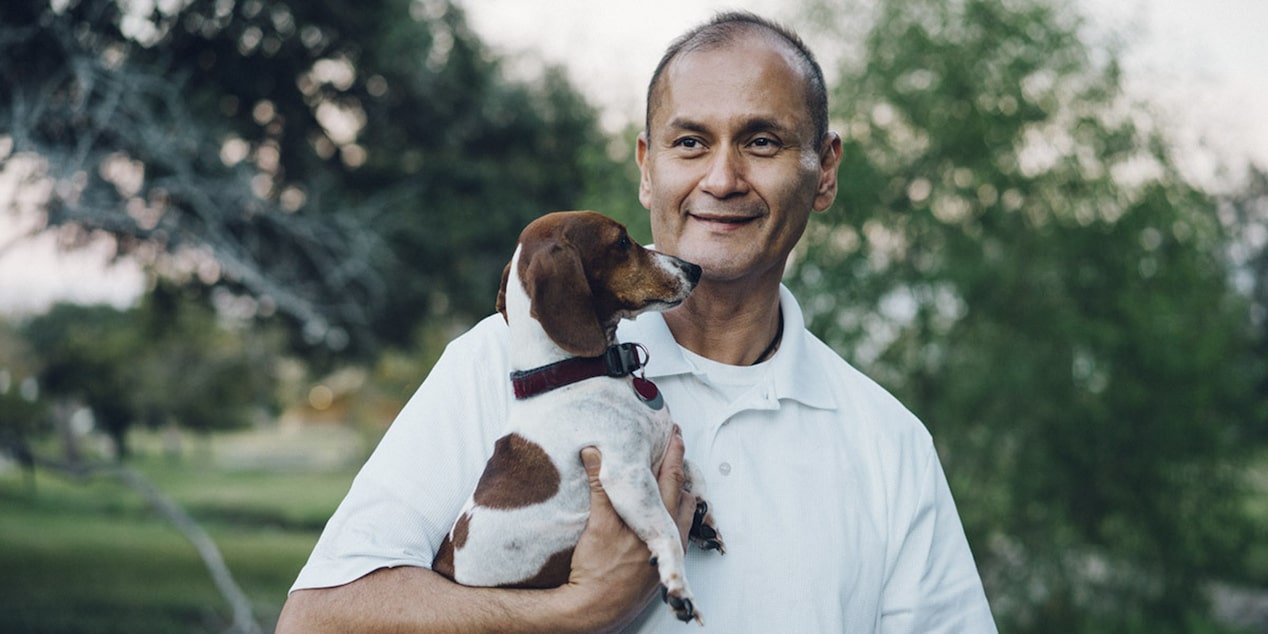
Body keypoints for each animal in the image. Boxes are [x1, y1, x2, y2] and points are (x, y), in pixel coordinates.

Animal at [431, 210, 725, 621]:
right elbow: (666, 528)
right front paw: (677, 586)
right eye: (621, 242)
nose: (694, 268)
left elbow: (695, 471)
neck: (573, 373)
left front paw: (703, 518)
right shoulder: (626, 476)